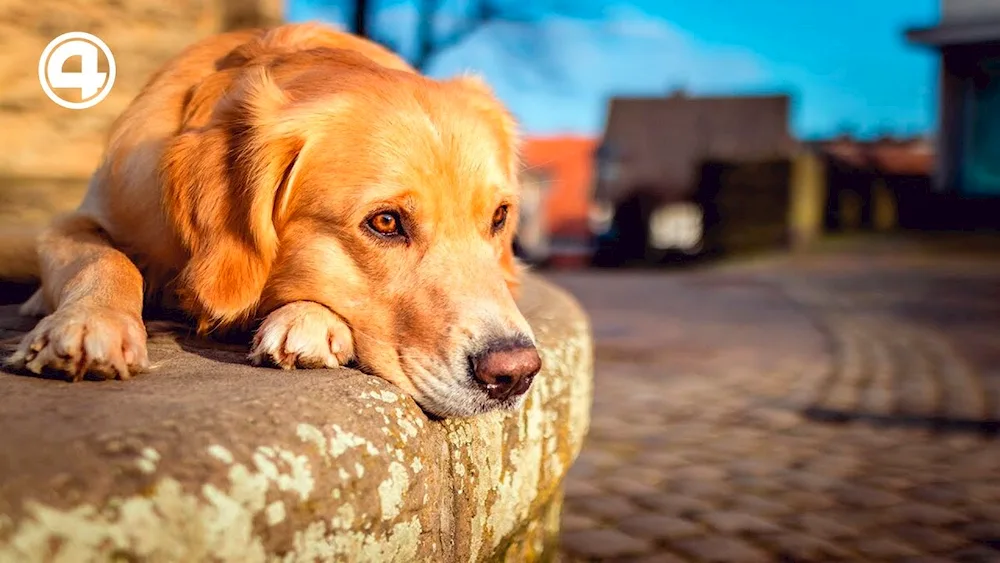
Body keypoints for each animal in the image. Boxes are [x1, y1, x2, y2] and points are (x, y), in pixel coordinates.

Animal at [5, 23, 540, 418]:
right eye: (386, 222)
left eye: (499, 216)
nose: (516, 373)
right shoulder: (80, 218)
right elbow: (105, 258)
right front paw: (90, 322)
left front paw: (308, 320)